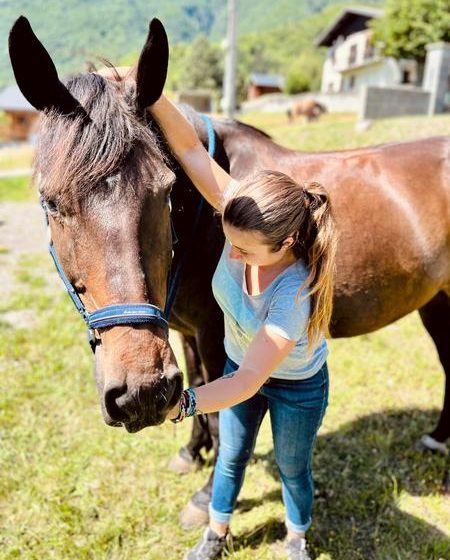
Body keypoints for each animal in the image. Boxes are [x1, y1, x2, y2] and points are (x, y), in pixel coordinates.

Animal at [8, 17, 448, 524]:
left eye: (166, 191)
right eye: (51, 202)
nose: (139, 393)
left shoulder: (216, 336)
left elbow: (222, 411)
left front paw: (207, 495)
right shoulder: (180, 332)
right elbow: (197, 387)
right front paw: (190, 452)